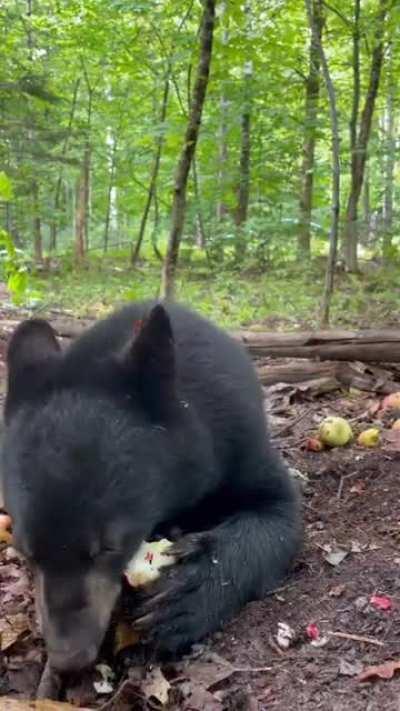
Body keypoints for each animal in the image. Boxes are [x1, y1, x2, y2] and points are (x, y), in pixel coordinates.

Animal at [1, 301, 302, 673]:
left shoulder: (236, 437)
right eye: (24, 550)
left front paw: (183, 598)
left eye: (109, 546)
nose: (68, 657)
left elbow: (277, 511)